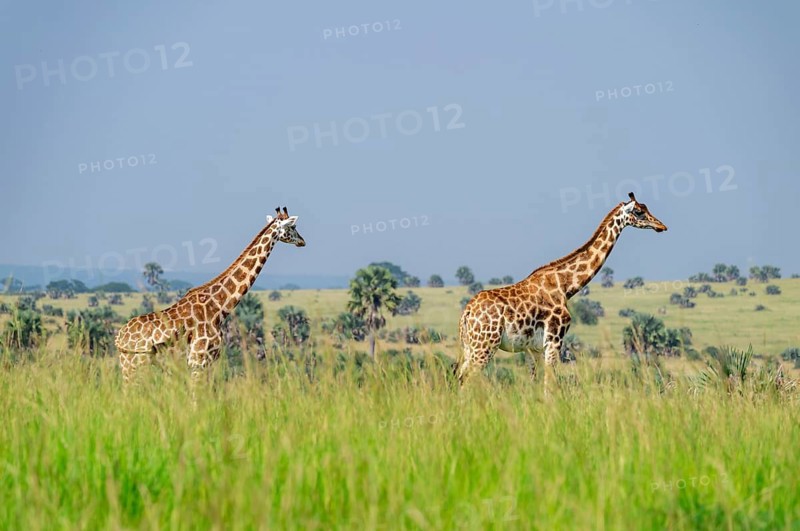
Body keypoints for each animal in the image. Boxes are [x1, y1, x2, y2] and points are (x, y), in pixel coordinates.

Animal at [115, 207, 305, 383]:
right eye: (293, 226)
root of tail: (119, 338)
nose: (302, 241)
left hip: (129, 365)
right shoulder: (198, 361)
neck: (218, 307)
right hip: (134, 365)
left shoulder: (208, 361)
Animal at [454, 192, 667, 388]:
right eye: (639, 212)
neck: (565, 286)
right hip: (485, 345)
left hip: (470, 346)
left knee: (459, 378)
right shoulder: (554, 339)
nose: (662, 226)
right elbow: (550, 384)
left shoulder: (533, 349)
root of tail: (467, 313)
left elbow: (535, 384)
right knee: (466, 380)